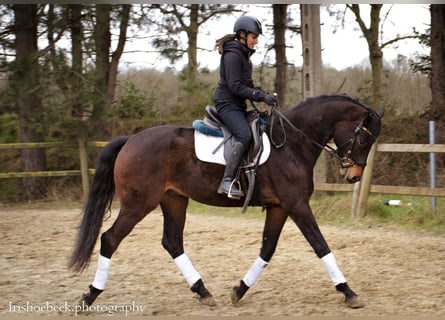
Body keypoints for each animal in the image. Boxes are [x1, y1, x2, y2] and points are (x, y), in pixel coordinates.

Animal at [68, 94, 382, 308]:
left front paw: (239, 290)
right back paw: (90, 295)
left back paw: (203, 291)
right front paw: (349, 292)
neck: (292, 143)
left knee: (172, 242)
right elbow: (320, 245)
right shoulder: (296, 205)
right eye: (363, 139)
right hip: (138, 205)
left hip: (174, 200)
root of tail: (131, 139)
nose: (353, 176)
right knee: (110, 239)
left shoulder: (280, 207)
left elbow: (267, 249)